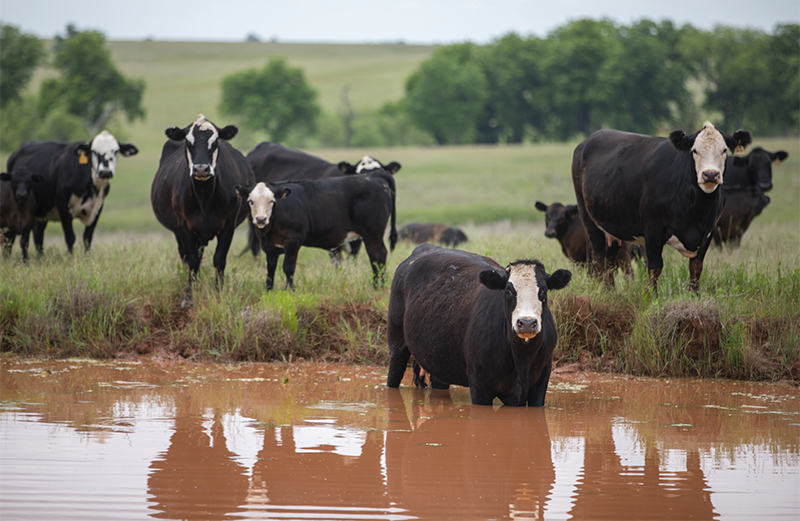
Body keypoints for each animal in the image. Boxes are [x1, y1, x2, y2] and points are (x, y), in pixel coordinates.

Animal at [5, 131, 139, 255]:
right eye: (94, 151)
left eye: (116, 151)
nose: (105, 172)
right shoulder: (63, 206)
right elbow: (70, 238)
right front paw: (71, 259)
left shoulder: (97, 207)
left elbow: (87, 238)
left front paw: (87, 259)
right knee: (10, 238)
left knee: (37, 235)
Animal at [148, 114, 252, 304]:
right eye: (188, 142)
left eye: (215, 141)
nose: (201, 169)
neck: (204, 196)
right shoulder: (183, 225)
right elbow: (193, 261)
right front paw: (189, 295)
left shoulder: (229, 224)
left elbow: (219, 259)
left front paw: (218, 293)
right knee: (186, 256)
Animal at [238, 169, 400, 290]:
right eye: (250, 201)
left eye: (272, 201)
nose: (260, 219)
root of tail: (375, 175)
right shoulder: (271, 247)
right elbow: (270, 269)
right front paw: (268, 290)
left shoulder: (293, 240)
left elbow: (288, 267)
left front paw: (289, 290)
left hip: (372, 234)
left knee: (377, 257)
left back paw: (377, 287)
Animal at [386, 244, 568, 406]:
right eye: (508, 290)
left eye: (543, 290)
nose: (527, 323)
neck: (522, 357)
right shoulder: (480, 384)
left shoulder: (541, 381)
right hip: (397, 343)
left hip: (438, 356)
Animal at [568, 121, 752, 292]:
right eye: (694, 151)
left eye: (724, 150)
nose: (711, 174)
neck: (697, 209)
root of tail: (587, 141)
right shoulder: (653, 229)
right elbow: (655, 267)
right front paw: (651, 297)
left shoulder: (708, 231)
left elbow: (696, 268)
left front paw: (695, 296)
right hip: (588, 218)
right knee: (598, 256)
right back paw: (605, 292)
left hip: (614, 226)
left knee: (610, 260)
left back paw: (611, 291)